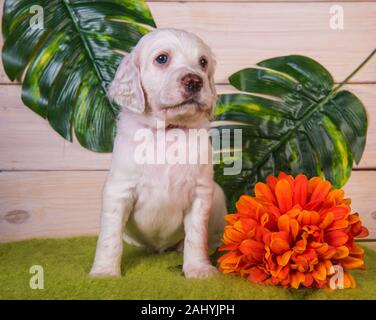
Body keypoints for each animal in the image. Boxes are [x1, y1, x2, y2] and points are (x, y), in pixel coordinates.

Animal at [89, 28, 228, 278]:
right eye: (162, 58)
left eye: (203, 62)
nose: (194, 81)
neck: (168, 132)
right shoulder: (119, 190)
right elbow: (110, 238)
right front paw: (105, 272)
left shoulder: (200, 192)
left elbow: (196, 236)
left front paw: (198, 268)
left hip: (218, 195)